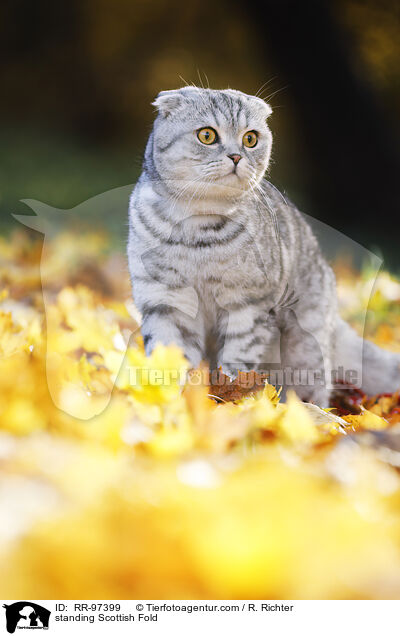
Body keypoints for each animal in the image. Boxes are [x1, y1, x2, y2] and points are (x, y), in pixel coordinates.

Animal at [128, 87, 400, 404]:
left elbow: (237, 358)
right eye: (207, 135)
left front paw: (229, 398)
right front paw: (174, 398)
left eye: (250, 139)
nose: (236, 156)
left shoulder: (248, 304)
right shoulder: (166, 301)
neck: (197, 231)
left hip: (305, 350)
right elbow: (172, 356)